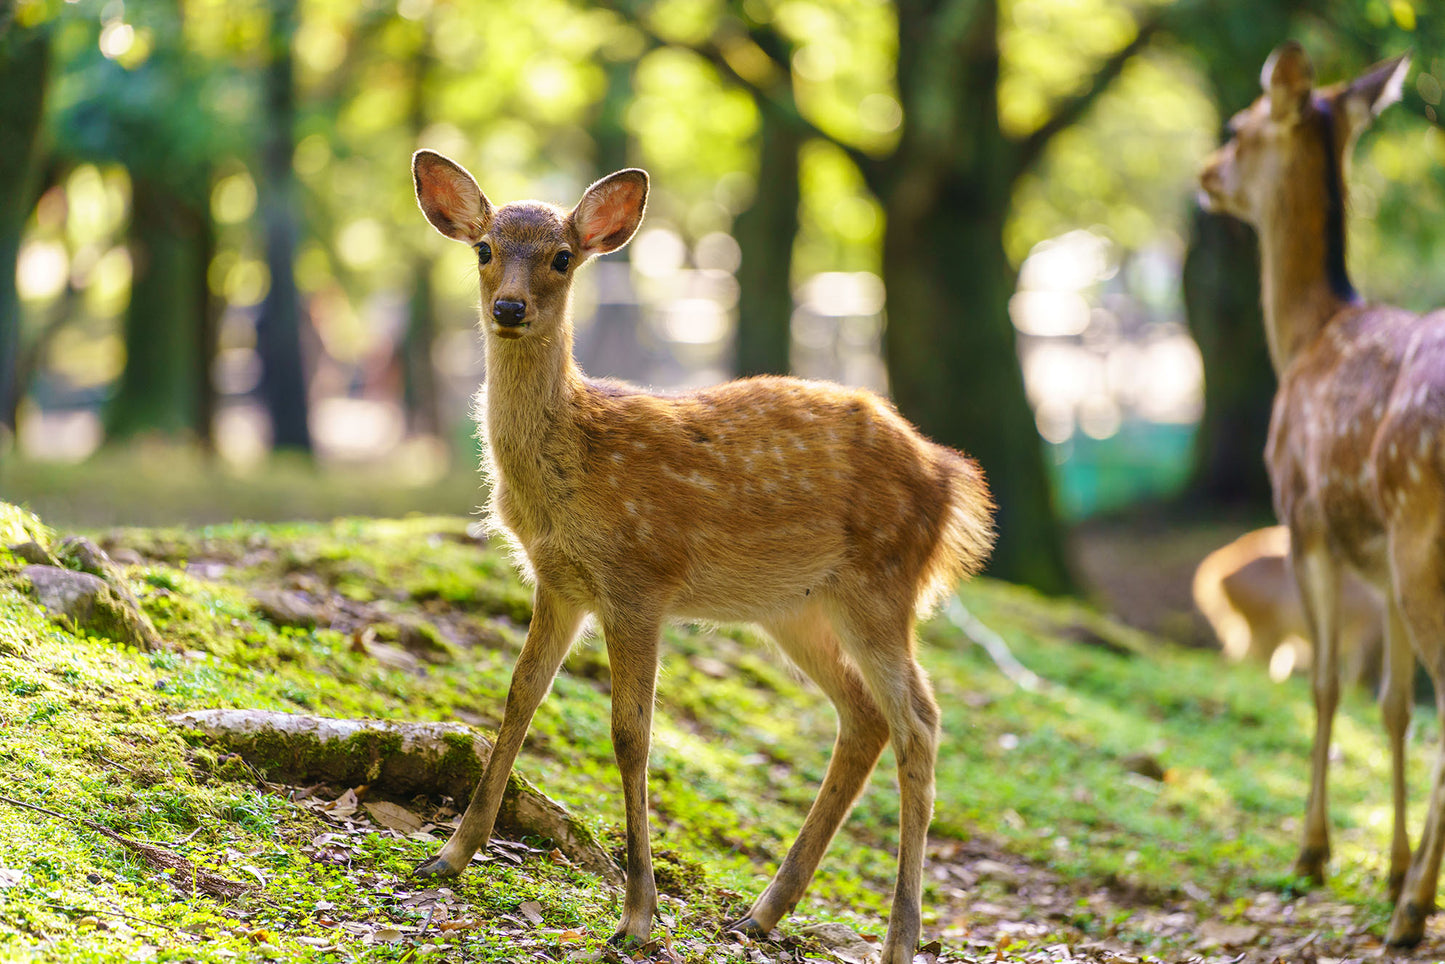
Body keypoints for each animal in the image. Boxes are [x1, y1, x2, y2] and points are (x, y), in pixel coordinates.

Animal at [408, 149, 995, 964]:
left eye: (562, 256)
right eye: (485, 249)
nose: (511, 309)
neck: (572, 464)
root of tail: (952, 479)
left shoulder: (638, 580)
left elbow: (632, 735)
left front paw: (636, 916)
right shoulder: (559, 581)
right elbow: (519, 696)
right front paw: (449, 856)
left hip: (882, 583)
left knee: (919, 721)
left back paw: (898, 939)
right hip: (796, 607)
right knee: (864, 716)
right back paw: (761, 913)